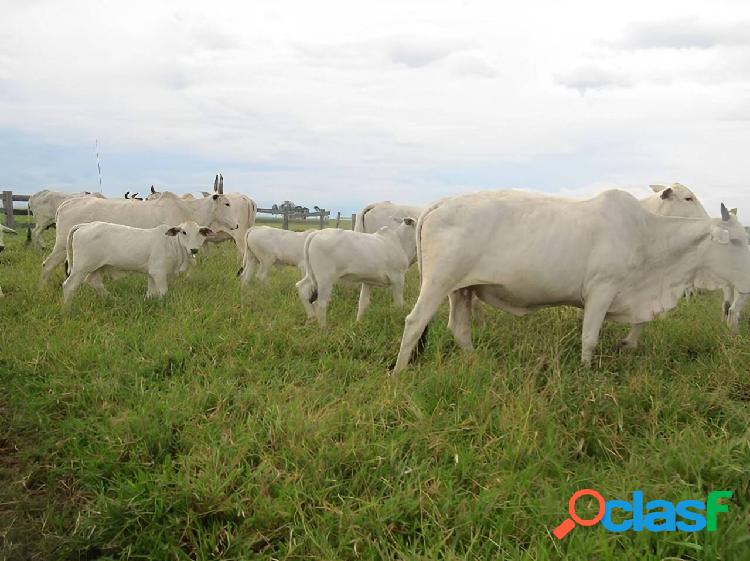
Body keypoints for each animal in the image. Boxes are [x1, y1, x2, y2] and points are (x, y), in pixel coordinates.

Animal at [40, 189, 238, 284]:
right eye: (227, 203)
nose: (236, 225)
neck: (188, 210)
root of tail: (67, 203)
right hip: (61, 246)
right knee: (47, 265)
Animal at [62, 220, 213, 306]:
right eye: (183, 232)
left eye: (200, 232)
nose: (194, 249)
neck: (172, 244)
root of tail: (86, 225)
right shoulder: (159, 273)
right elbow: (163, 292)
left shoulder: (152, 274)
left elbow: (151, 292)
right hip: (81, 268)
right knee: (68, 286)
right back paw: (67, 309)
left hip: (99, 267)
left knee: (94, 281)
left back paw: (113, 300)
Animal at [394, 189, 750, 372]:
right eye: (735, 241)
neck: (648, 236)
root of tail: (438, 204)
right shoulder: (601, 290)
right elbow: (589, 339)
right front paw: (586, 374)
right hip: (438, 283)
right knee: (414, 322)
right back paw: (399, 374)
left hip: (461, 290)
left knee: (459, 328)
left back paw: (476, 363)